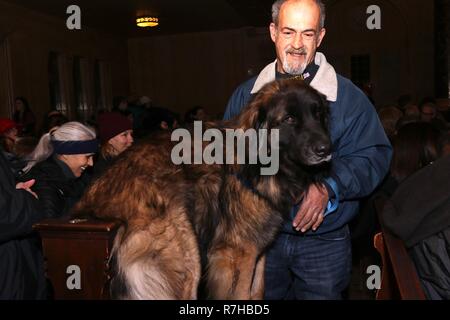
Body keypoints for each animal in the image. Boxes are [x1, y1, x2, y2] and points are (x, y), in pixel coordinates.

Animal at [70, 79, 330, 298]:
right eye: (289, 119)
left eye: (318, 114)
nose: (326, 149)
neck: (257, 158)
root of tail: (94, 209)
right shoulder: (238, 252)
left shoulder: (259, 250)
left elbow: (257, 290)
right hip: (187, 256)